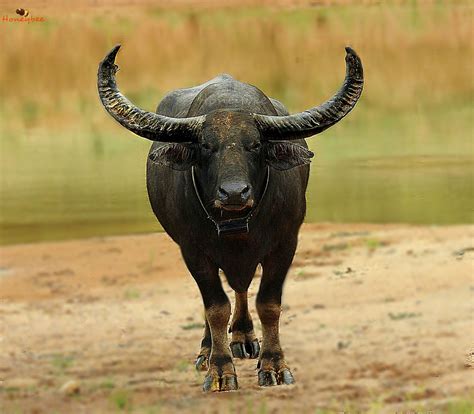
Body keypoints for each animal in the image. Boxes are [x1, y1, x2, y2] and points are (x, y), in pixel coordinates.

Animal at [96, 45, 362, 392]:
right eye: (207, 146)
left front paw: (274, 366)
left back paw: (245, 338)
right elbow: (215, 307)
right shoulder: (193, 251)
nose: (234, 192)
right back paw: (208, 349)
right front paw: (220, 370)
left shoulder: (286, 244)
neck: (237, 227)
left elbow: (268, 303)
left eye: (256, 144)